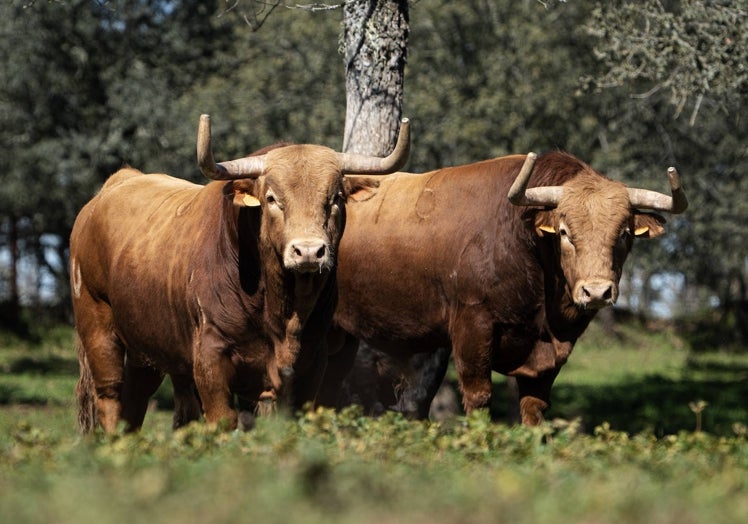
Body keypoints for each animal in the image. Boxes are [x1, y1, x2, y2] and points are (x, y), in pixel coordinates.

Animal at [70, 112, 410, 432]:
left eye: (336, 198)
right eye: (271, 198)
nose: (309, 252)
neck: (284, 312)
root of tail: (114, 186)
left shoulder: (312, 362)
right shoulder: (211, 358)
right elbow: (223, 420)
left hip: (147, 348)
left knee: (135, 399)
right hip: (98, 328)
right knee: (110, 395)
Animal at [322, 151, 684, 426]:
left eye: (623, 233)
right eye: (564, 232)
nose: (596, 292)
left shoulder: (546, 356)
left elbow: (534, 406)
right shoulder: (472, 326)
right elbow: (479, 396)